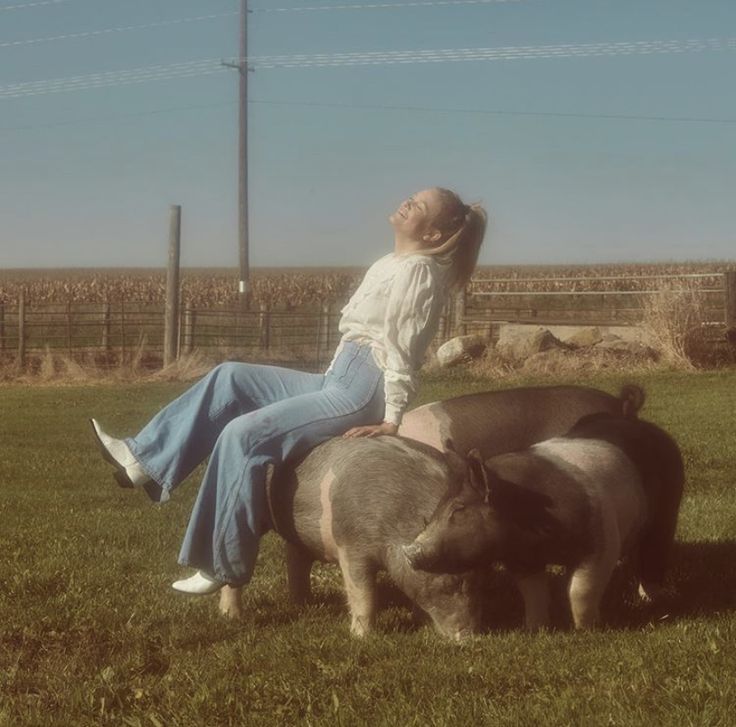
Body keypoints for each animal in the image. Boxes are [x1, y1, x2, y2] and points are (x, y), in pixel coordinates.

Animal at [402, 410, 684, 632]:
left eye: (459, 508)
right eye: (440, 504)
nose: (410, 550)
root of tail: (652, 429)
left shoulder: (602, 541)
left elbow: (580, 590)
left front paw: (586, 630)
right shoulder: (522, 558)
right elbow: (534, 594)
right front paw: (534, 629)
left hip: (667, 511)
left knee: (654, 554)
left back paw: (651, 601)